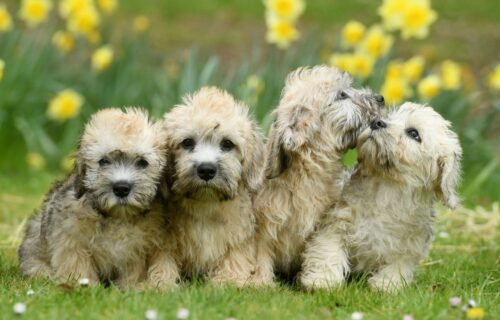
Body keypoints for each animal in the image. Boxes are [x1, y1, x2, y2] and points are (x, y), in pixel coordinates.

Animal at [18, 108, 172, 290]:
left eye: (143, 162)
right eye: (103, 161)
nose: (121, 188)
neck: (116, 218)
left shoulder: (137, 250)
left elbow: (132, 272)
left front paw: (129, 288)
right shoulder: (71, 240)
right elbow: (77, 264)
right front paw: (82, 285)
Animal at [154, 86, 266, 286]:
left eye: (227, 144)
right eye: (187, 142)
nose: (206, 170)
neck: (206, 206)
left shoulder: (238, 239)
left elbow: (234, 260)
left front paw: (227, 280)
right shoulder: (166, 239)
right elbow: (163, 260)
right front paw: (161, 283)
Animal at [252, 65, 384, 284]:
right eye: (341, 95)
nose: (380, 98)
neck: (308, 176)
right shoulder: (262, 229)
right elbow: (259, 256)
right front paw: (259, 282)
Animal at [298, 102, 462, 292]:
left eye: (414, 133)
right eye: (389, 117)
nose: (376, 122)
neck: (385, 193)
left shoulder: (409, 247)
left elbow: (398, 266)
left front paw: (386, 284)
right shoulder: (334, 226)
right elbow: (327, 252)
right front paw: (321, 280)